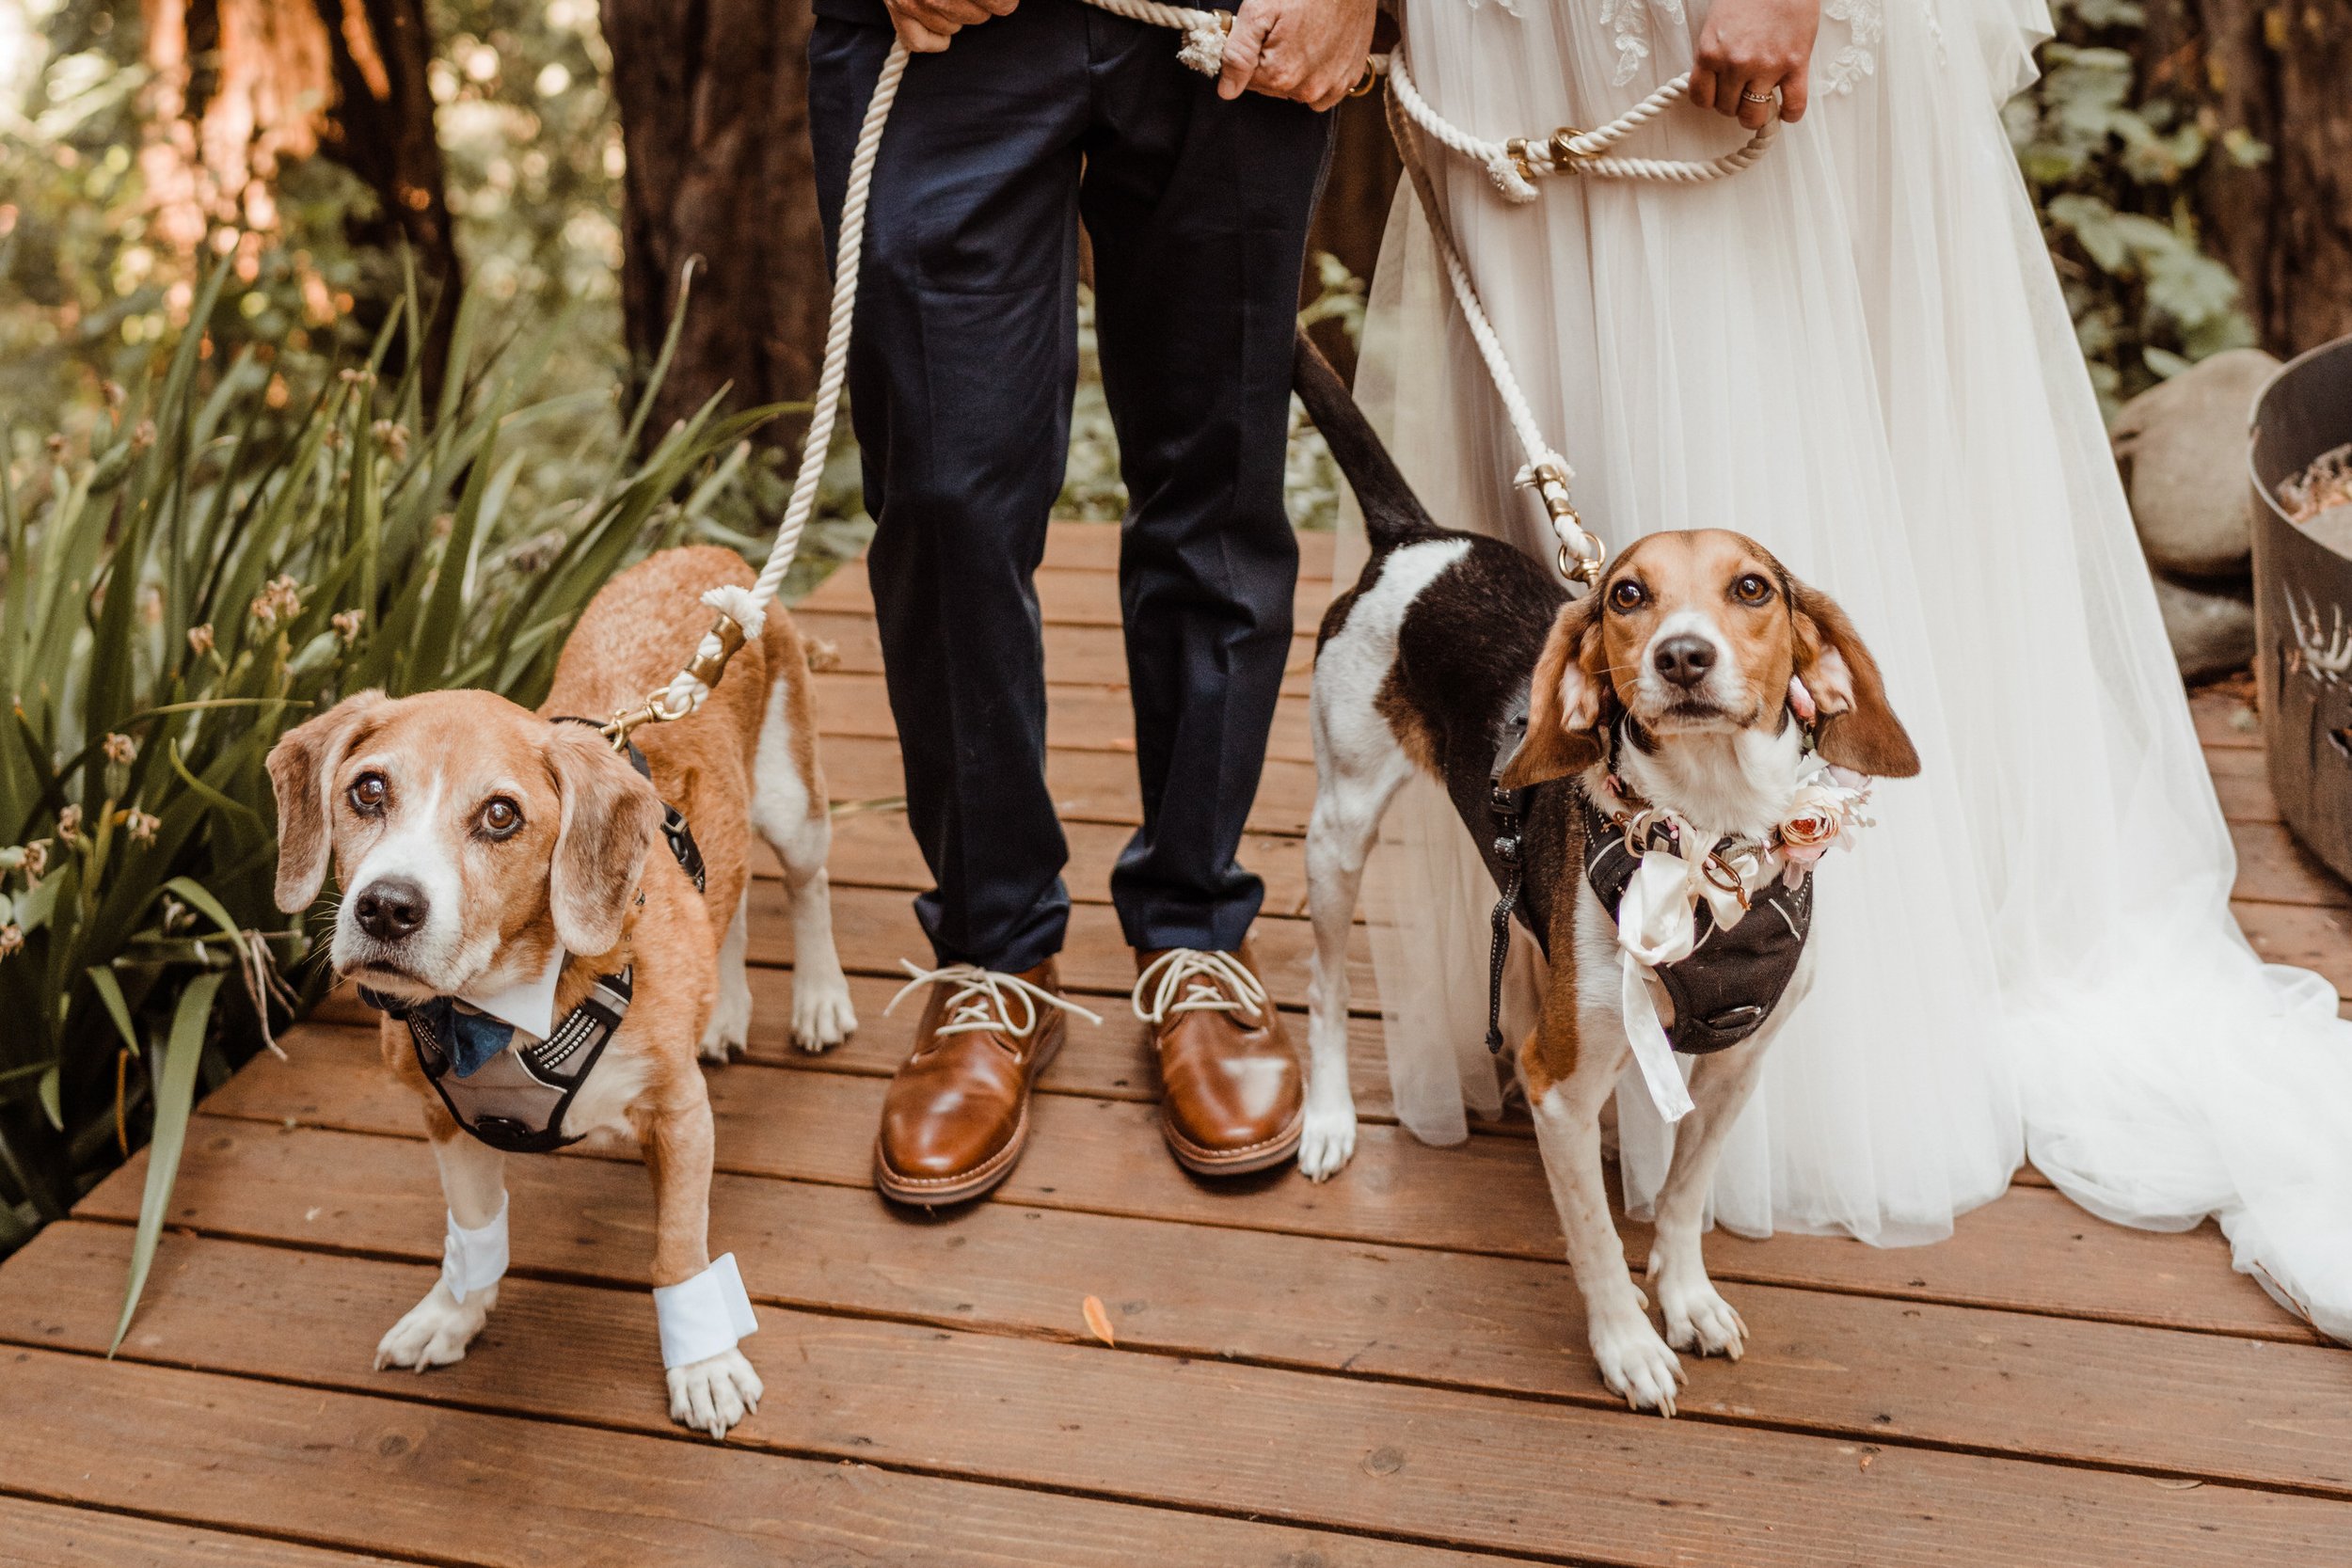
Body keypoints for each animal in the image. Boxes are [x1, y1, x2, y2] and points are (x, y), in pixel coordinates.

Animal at [269, 545, 856, 1438]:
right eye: (367, 790)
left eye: (501, 815)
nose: (386, 907)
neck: (497, 1007)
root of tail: (705, 553)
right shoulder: (445, 1121)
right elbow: (475, 1228)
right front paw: (455, 1313)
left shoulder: (680, 1116)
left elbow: (678, 1249)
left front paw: (702, 1363)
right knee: (731, 905)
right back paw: (724, 1007)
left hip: (795, 804)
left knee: (806, 884)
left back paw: (819, 996)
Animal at [1298, 338, 1919, 1419]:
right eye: (1628, 593)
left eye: (1751, 589)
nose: (1683, 655)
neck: (1710, 845)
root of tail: (1418, 538)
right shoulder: (1566, 1087)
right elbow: (1591, 1233)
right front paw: (1627, 1342)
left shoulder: (1739, 1060)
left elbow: (1681, 1194)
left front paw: (1686, 1295)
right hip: (1339, 828)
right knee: (1327, 985)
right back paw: (1331, 1116)